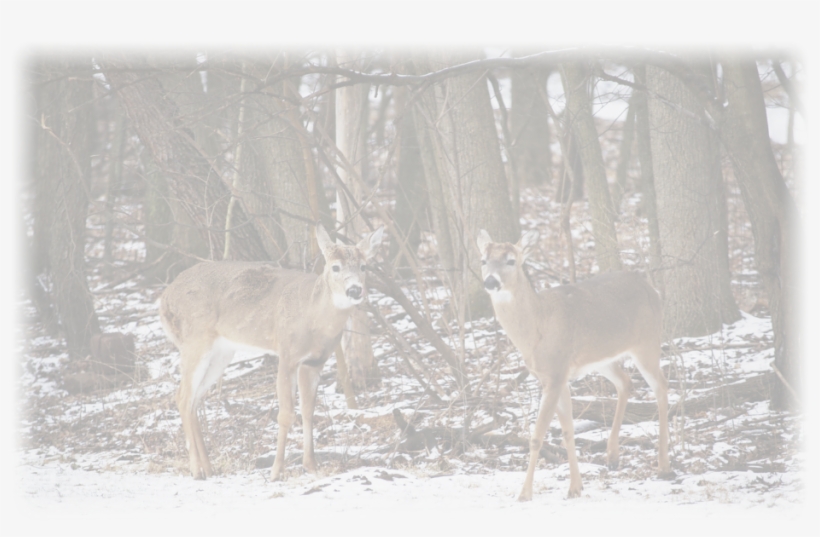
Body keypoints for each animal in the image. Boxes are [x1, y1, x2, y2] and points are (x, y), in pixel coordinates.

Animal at [159, 224, 384, 480]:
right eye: (335, 266)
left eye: (363, 266)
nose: (355, 290)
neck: (315, 317)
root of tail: (163, 299)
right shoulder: (287, 353)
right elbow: (285, 413)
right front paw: (276, 471)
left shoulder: (314, 362)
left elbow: (308, 411)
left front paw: (311, 466)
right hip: (194, 340)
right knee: (182, 397)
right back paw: (196, 470)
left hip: (221, 352)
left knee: (195, 399)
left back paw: (209, 468)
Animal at [477, 229, 673, 501]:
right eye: (483, 260)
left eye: (511, 261)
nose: (490, 282)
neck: (536, 329)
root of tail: (652, 289)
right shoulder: (555, 378)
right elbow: (568, 431)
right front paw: (576, 487)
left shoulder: (556, 373)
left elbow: (537, 436)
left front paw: (525, 493)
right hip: (603, 358)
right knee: (625, 382)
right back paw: (612, 456)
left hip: (647, 342)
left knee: (661, 386)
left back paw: (663, 466)